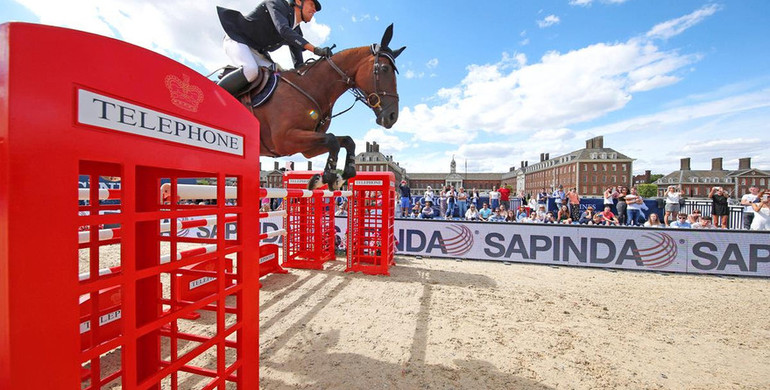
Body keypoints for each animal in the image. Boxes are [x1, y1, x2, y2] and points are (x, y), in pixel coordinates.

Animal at [246, 24, 404, 189]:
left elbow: (347, 141)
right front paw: (326, 177)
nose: (393, 116)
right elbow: (332, 140)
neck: (310, 86)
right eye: (384, 68)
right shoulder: (284, 140)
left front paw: (337, 177)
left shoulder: (308, 148)